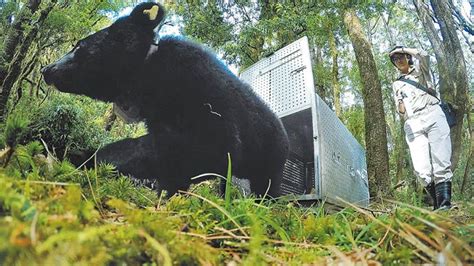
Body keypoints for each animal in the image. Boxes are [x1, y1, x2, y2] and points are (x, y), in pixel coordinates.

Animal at [42, 2, 288, 197]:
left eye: (79, 46)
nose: (47, 69)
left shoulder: (207, 105)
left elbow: (201, 150)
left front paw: (84, 156)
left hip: (270, 160)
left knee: (265, 189)